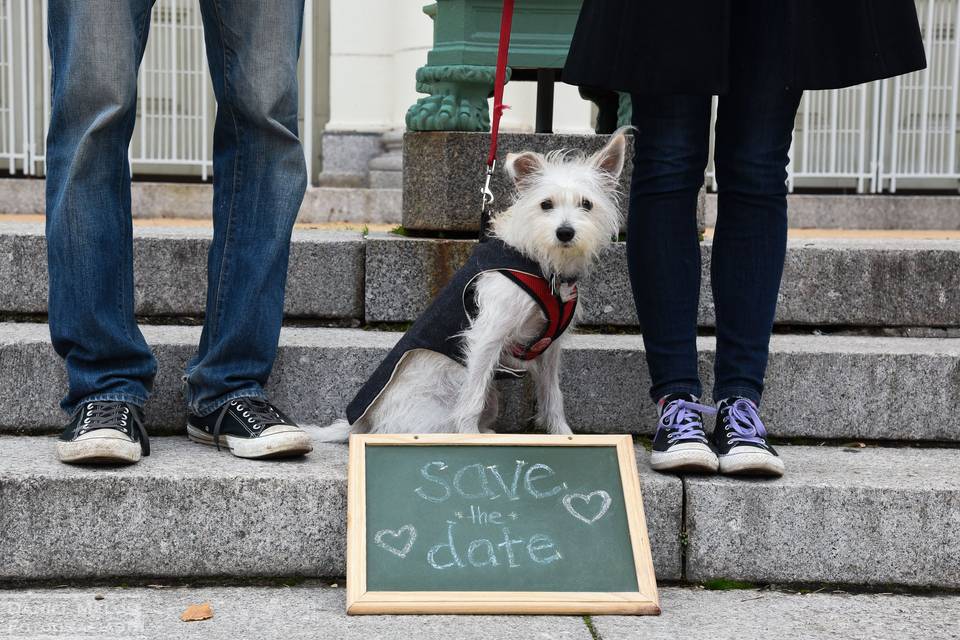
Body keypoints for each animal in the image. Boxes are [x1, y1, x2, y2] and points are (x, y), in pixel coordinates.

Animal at [316, 130, 632, 440]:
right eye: (546, 204)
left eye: (586, 204)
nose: (565, 232)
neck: (540, 262)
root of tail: (361, 423)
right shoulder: (488, 335)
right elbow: (473, 394)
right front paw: (469, 436)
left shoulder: (549, 349)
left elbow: (552, 395)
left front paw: (563, 434)